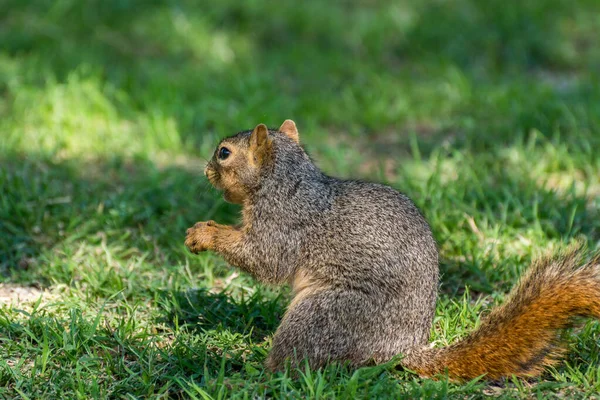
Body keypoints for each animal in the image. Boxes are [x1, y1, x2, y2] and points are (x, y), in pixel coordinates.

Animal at [184, 120, 600, 380]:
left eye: (224, 153)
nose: (205, 170)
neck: (285, 181)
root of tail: (401, 350)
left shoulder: (284, 225)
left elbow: (265, 260)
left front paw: (204, 233)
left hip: (325, 314)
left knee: (296, 362)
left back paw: (251, 370)